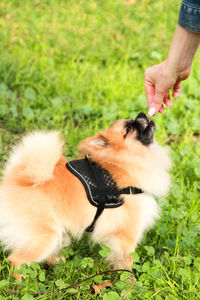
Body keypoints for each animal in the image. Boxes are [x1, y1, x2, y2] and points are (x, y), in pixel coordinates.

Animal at [0, 113, 170, 278]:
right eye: (128, 128)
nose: (141, 114)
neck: (121, 165)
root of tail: (15, 180)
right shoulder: (126, 235)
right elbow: (126, 261)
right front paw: (130, 281)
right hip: (45, 236)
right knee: (16, 261)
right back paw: (21, 282)